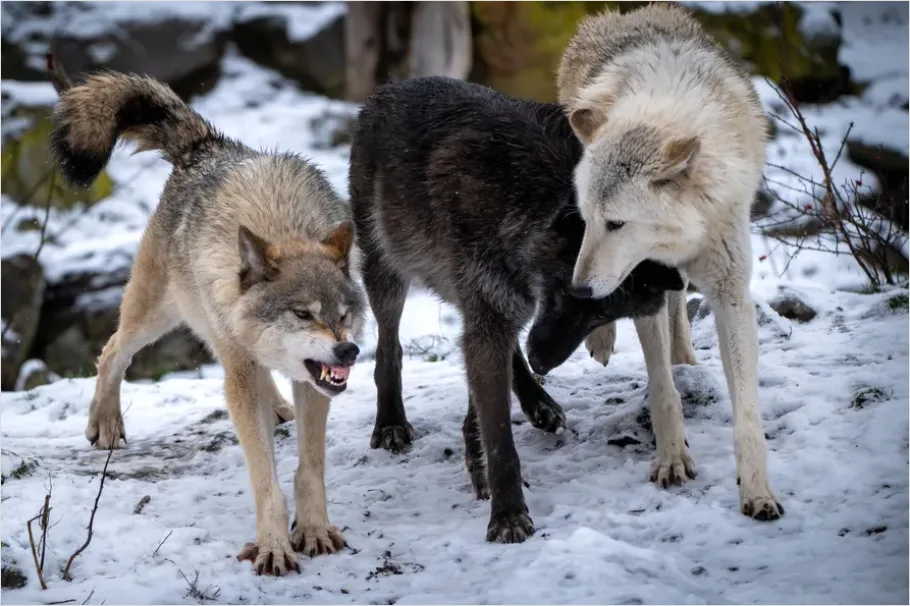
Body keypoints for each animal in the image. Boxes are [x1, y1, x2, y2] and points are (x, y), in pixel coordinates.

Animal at [49, 62, 366, 575]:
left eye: (344, 314)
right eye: (302, 314)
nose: (348, 350)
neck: (282, 226)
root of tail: (207, 145)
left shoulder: (313, 381)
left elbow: (310, 467)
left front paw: (315, 530)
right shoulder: (243, 368)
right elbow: (264, 477)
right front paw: (274, 545)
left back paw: (277, 406)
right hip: (159, 314)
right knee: (112, 351)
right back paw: (107, 423)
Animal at [349, 75, 684, 543]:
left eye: (602, 315)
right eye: (571, 293)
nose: (544, 361)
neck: (528, 197)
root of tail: (392, 87)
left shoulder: (501, 310)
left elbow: (487, 405)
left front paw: (481, 459)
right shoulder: (491, 314)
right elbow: (499, 436)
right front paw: (506, 513)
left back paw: (538, 402)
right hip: (388, 271)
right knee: (388, 347)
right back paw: (391, 423)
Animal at [557, 4, 783, 520]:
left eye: (617, 224)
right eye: (589, 220)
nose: (577, 290)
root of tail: (627, 15)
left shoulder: (731, 294)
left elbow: (747, 410)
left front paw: (757, 490)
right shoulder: (644, 286)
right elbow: (662, 389)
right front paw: (672, 459)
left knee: (681, 312)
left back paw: (686, 357)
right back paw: (603, 337)